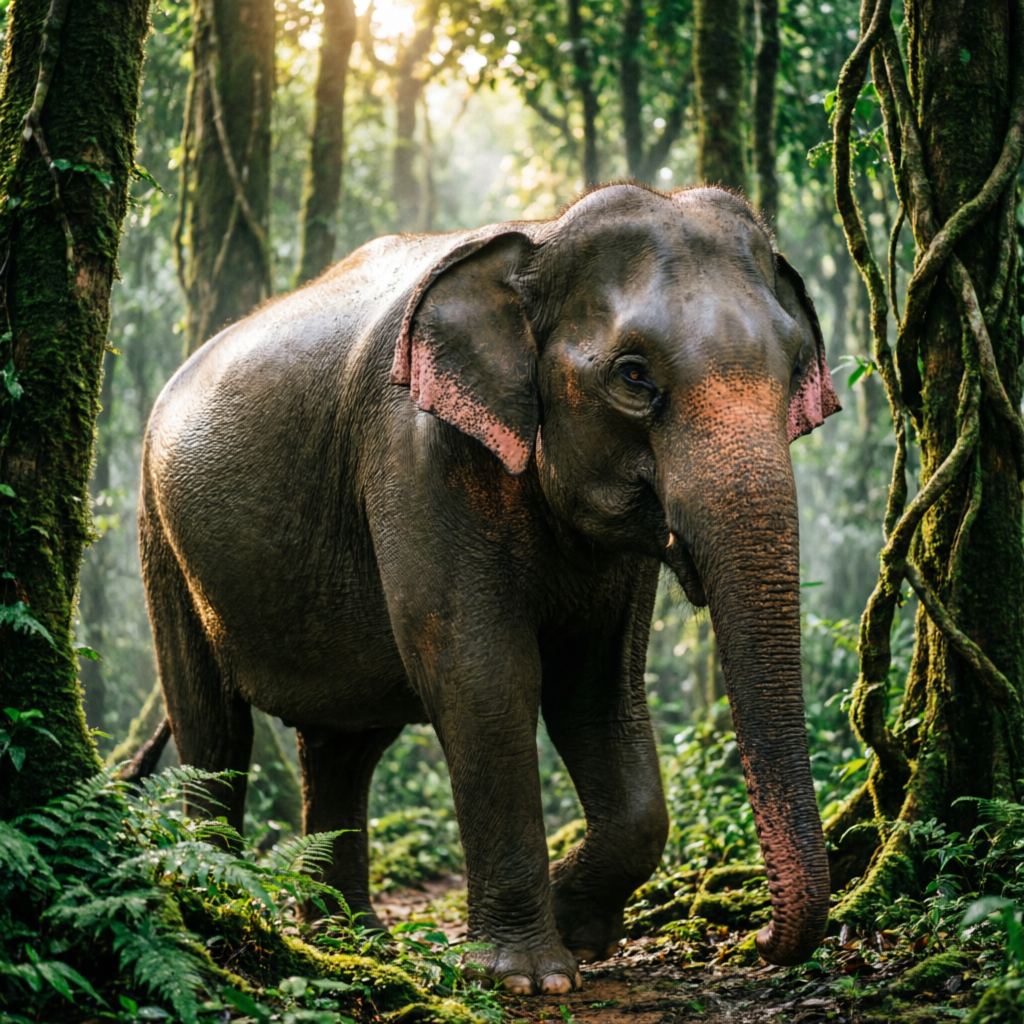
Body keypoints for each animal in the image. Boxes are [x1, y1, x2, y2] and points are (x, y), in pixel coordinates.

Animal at [139, 183, 840, 994]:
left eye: (794, 367)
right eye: (634, 376)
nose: (755, 937)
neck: (541, 238)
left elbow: (597, 691)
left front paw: (578, 930)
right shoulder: (416, 453)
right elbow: (483, 676)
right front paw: (528, 976)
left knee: (342, 745)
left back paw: (355, 942)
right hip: (160, 533)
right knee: (212, 725)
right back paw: (225, 903)